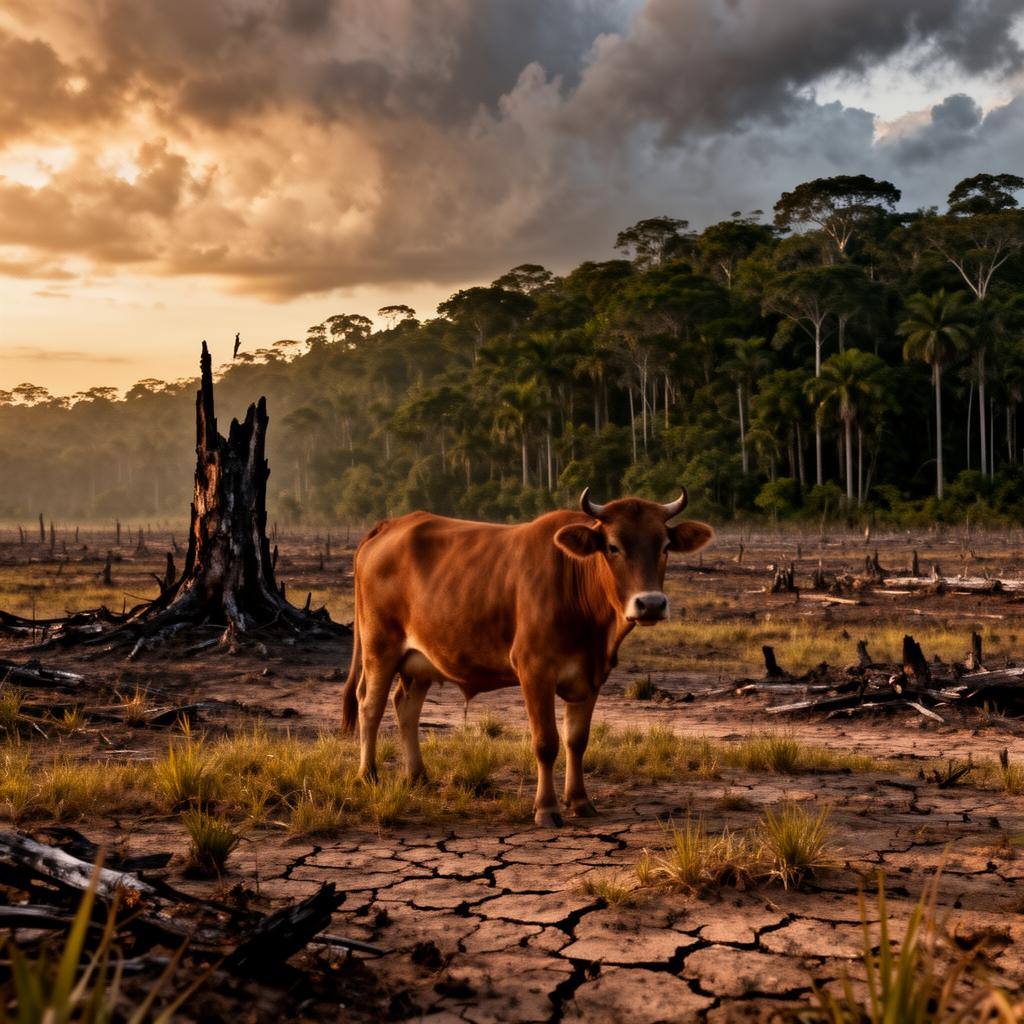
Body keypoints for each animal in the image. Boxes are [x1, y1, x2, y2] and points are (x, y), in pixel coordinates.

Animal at [341, 487, 714, 826]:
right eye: (613, 547)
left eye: (664, 546)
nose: (650, 604)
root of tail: (392, 525)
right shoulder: (535, 671)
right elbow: (546, 742)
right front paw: (547, 809)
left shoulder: (591, 676)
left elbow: (577, 741)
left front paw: (580, 800)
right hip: (379, 648)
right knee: (370, 705)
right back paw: (367, 775)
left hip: (419, 662)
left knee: (406, 707)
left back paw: (418, 776)